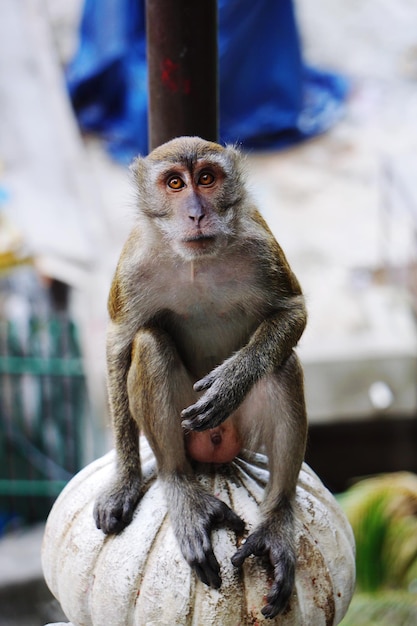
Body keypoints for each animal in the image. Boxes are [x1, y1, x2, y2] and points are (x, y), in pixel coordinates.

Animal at [94, 134, 308, 616]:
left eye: (207, 178)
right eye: (175, 183)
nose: (195, 213)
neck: (195, 261)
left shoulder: (261, 247)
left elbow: (292, 312)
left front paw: (231, 381)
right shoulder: (132, 268)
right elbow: (120, 344)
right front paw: (124, 481)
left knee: (283, 364)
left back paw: (276, 520)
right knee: (150, 343)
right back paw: (183, 492)